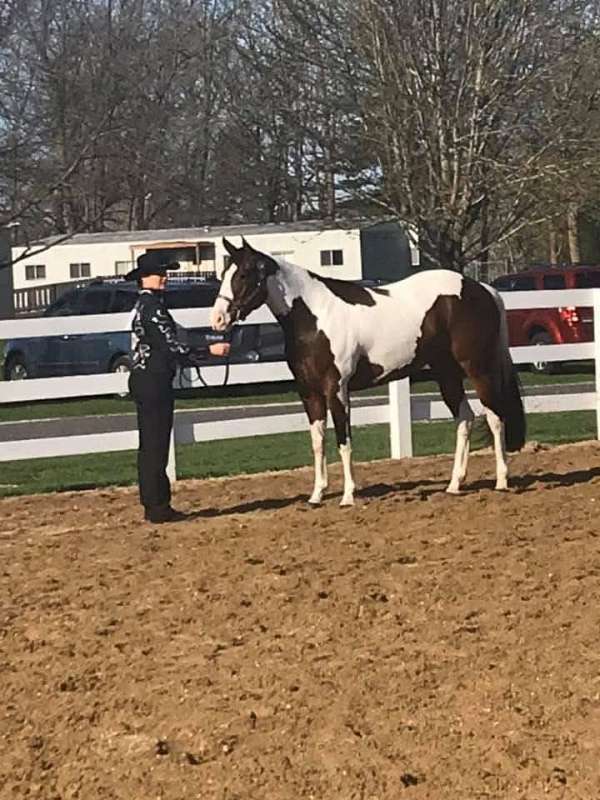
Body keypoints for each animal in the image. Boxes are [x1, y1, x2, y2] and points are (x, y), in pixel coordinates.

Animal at [210, 237, 525, 506]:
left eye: (243, 274)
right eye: (225, 273)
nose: (218, 319)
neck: (315, 317)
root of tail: (482, 289)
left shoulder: (336, 389)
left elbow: (343, 440)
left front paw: (348, 496)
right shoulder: (309, 392)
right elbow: (318, 441)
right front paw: (316, 495)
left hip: (478, 368)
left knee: (495, 417)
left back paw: (501, 480)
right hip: (446, 373)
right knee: (465, 419)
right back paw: (454, 484)